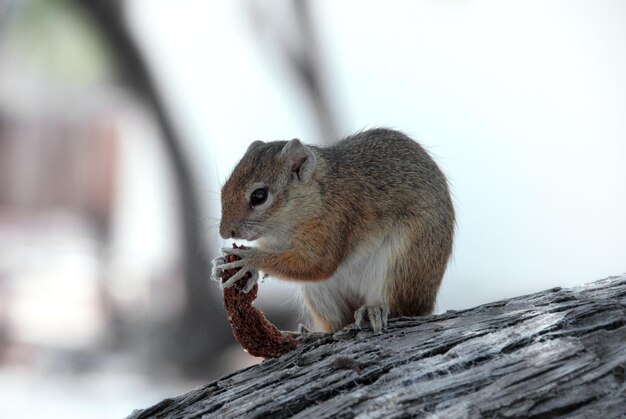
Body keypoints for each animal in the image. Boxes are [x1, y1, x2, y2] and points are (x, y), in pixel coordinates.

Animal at [212, 130, 450, 334]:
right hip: (318, 294)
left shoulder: (336, 221)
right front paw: (221, 264)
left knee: (400, 308)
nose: (225, 232)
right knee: (337, 324)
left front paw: (250, 260)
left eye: (259, 196)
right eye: (223, 190)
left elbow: (318, 265)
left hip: (401, 265)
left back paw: (373, 310)